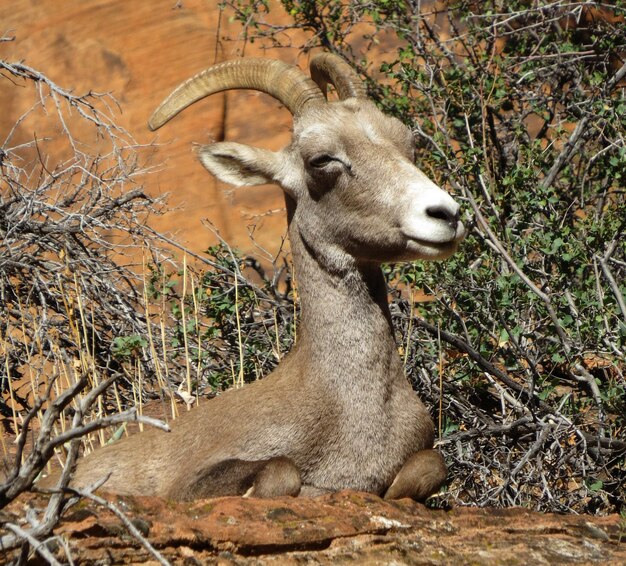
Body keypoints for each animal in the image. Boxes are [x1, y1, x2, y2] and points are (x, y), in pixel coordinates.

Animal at [63, 54, 464, 502]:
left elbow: (431, 466)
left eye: (407, 144)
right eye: (321, 159)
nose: (446, 214)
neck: (353, 407)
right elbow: (281, 470)